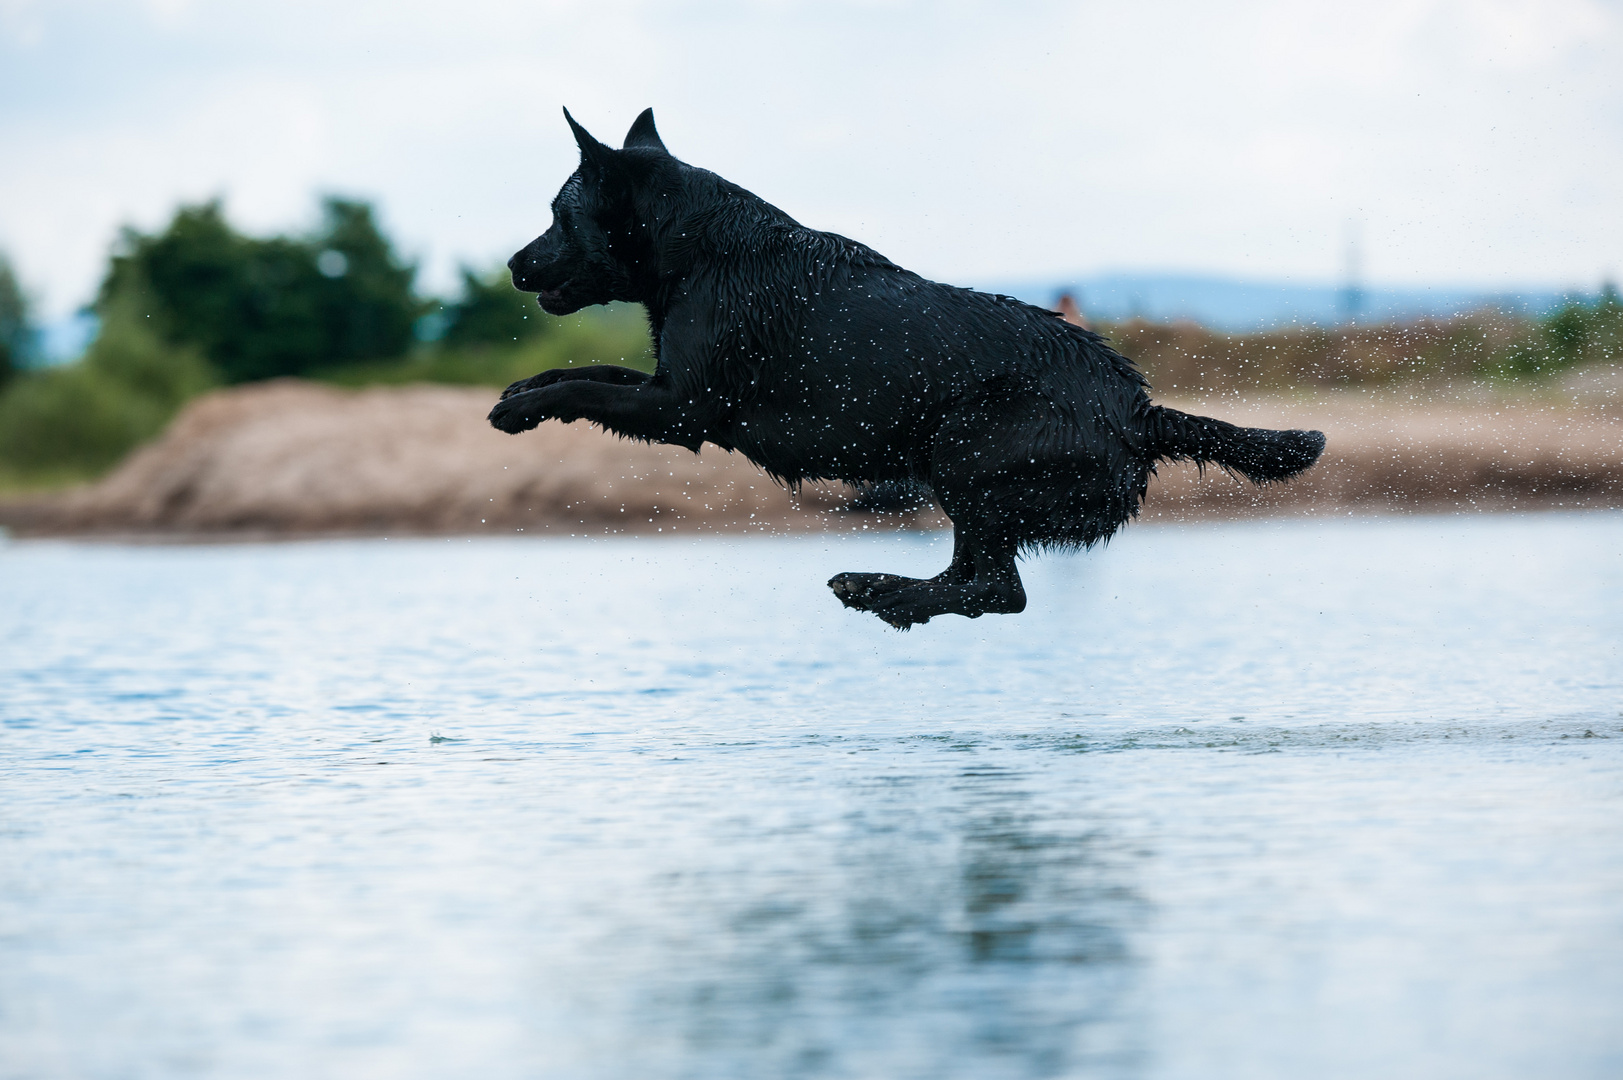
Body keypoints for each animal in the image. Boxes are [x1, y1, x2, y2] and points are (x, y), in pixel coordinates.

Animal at [486, 108, 1324, 623]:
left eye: (558, 216)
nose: (514, 265)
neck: (700, 251)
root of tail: (1138, 410)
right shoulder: (667, 390)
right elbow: (587, 375)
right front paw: (522, 390)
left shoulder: (684, 408)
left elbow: (589, 383)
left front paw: (519, 408)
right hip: (957, 469)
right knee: (979, 582)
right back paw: (879, 590)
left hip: (964, 447)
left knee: (995, 589)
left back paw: (879, 592)